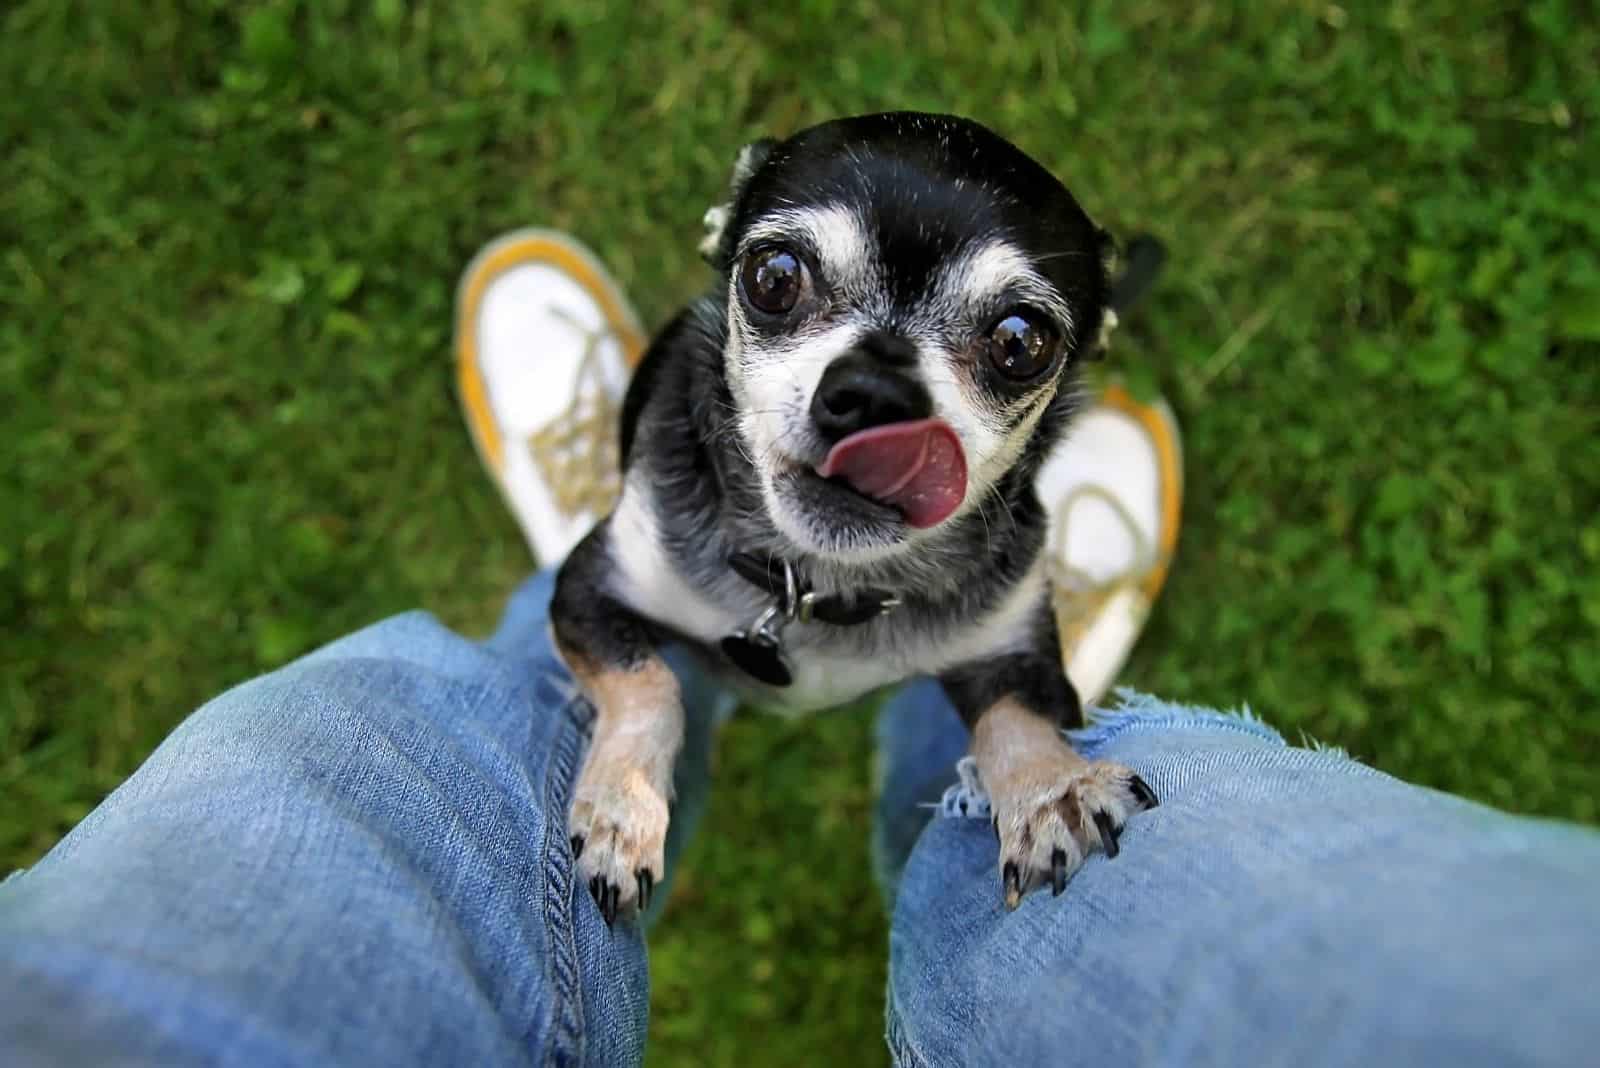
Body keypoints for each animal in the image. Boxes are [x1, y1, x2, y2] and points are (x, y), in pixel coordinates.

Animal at [556, 112, 1158, 920]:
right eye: (775, 278)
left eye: (1020, 342)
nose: (875, 393)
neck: (819, 585)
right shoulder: (589, 591)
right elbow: (650, 683)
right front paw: (624, 811)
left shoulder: (1012, 652)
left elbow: (1017, 720)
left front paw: (1051, 791)